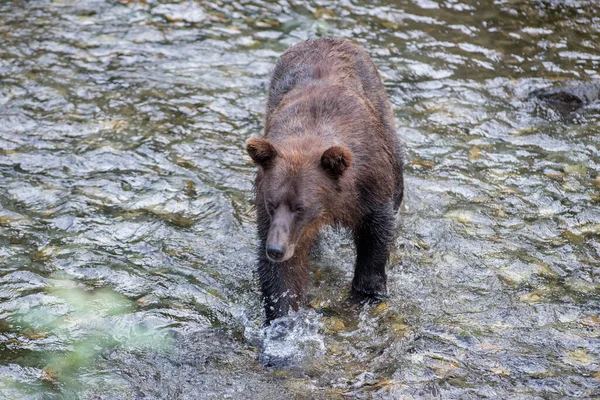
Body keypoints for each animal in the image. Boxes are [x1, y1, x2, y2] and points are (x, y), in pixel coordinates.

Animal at [246, 38, 406, 324]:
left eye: (300, 206)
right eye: (272, 203)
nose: (275, 249)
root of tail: (326, 38)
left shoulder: (370, 188)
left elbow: (375, 238)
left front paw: (367, 293)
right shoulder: (273, 212)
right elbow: (283, 276)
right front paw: (282, 320)